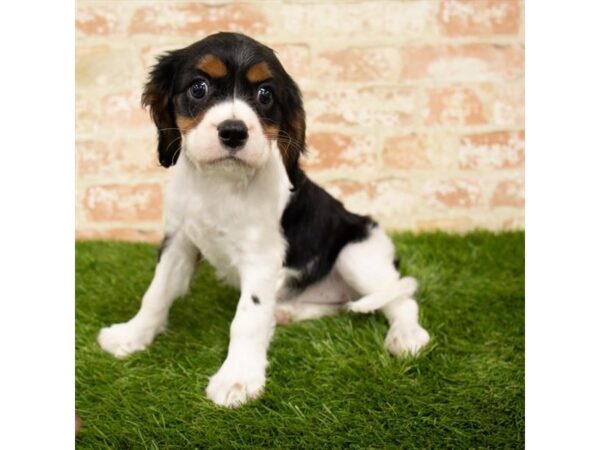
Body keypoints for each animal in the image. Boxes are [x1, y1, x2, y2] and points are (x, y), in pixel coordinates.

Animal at [97, 30, 432, 404]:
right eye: (198, 88)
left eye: (265, 94)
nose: (233, 131)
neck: (220, 184)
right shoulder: (178, 241)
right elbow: (156, 292)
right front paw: (131, 335)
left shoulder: (262, 258)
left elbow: (249, 317)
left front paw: (237, 378)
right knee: (339, 303)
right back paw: (288, 312)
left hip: (356, 254)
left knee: (401, 299)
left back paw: (407, 335)